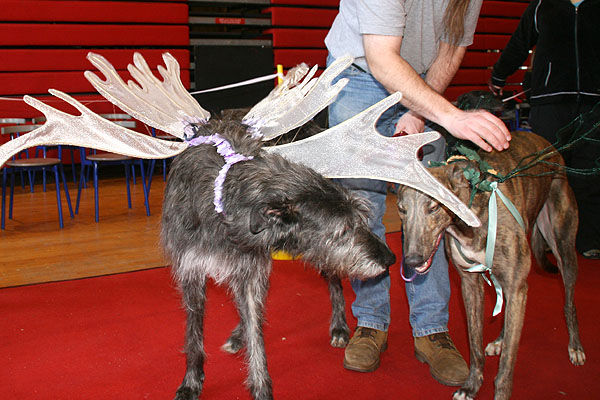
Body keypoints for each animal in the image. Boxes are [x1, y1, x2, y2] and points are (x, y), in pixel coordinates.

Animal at [160, 118, 396, 400]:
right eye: (344, 230)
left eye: (359, 221)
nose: (390, 259)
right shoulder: (192, 270)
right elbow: (194, 333)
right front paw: (191, 382)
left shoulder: (250, 270)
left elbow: (256, 331)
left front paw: (261, 387)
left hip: (317, 255)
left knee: (333, 281)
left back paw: (339, 327)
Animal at [396, 130, 586, 400]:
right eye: (401, 209)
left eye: (433, 207)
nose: (412, 261)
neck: (470, 217)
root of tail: (549, 147)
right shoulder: (469, 284)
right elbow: (474, 344)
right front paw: (471, 385)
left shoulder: (516, 286)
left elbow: (506, 365)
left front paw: (501, 392)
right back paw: (500, 340)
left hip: (563, 248)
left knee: (568, 301)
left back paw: (575, 346)